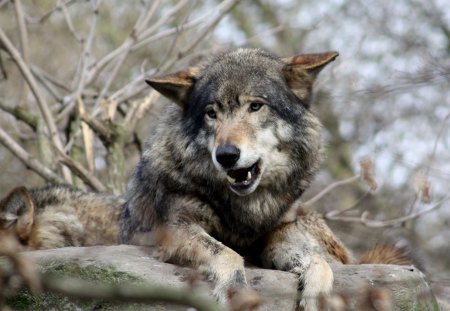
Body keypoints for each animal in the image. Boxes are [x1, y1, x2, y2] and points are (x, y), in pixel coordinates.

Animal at [118, 48, 414, 310]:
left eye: (256, 106)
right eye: (211, 113)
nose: (226, 155)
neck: (247, 210)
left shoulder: (280, 231)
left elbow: (319, 262)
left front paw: (315, 297)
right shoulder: (175, 229)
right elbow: (227, 252)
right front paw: (235, 292)